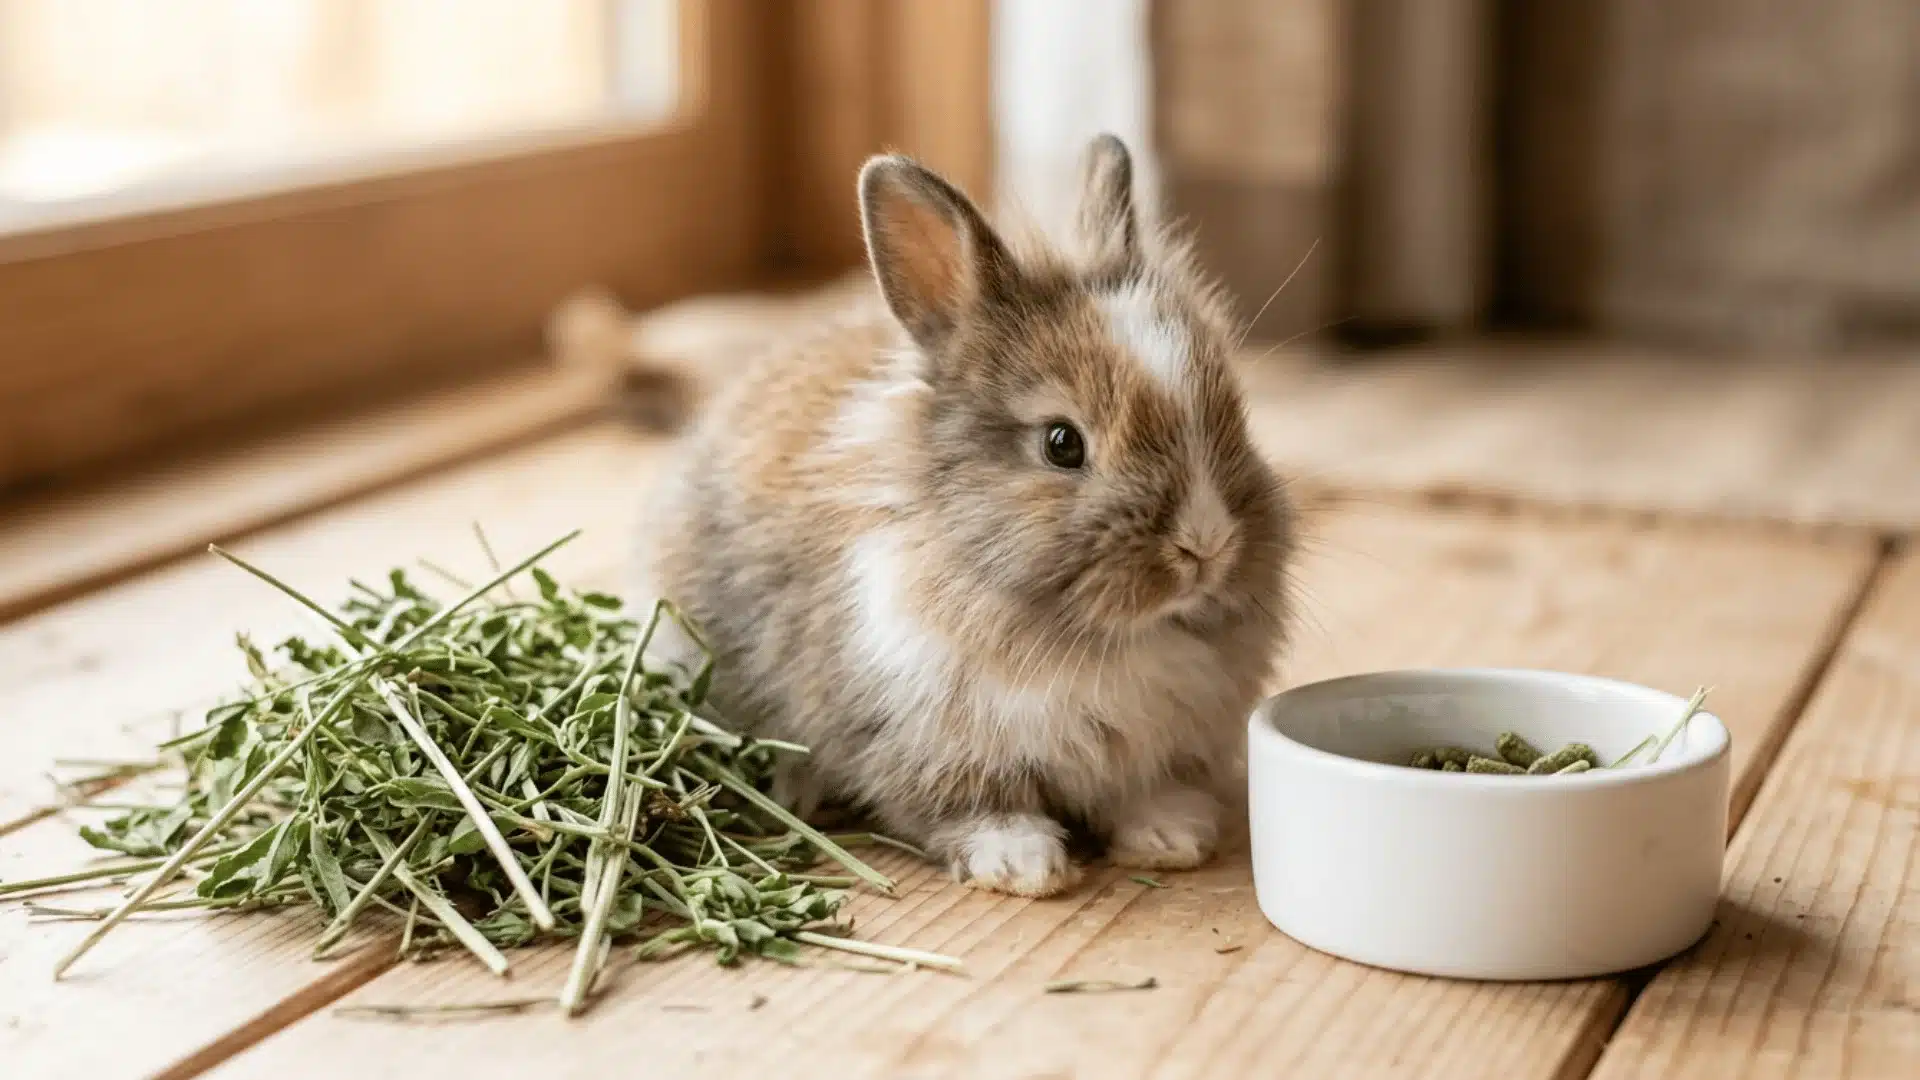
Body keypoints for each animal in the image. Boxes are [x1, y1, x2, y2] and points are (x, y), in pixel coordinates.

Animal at [633, 134, 1292, 898]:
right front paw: (1022, 863)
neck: (1107, 638)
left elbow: (1143, 793)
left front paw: (1170, 838)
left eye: (1234, 417)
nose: (1206, 546)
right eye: (1062, 444)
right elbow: (971, 806)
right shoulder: (919, 739)